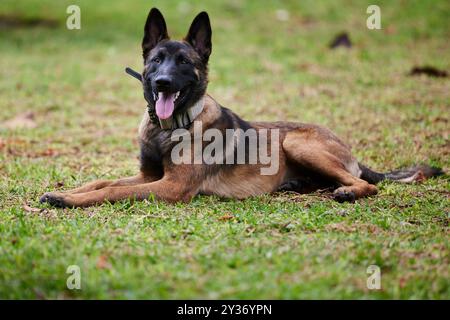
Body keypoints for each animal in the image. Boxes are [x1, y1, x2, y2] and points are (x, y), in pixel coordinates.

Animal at [40, 8, 444, 208]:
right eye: (156, 60)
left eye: (184, 62)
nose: (163, 83)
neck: (170, 128)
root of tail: (351, 153)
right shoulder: (148, 176)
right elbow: (101, 181)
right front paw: (65, 192)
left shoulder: (170, 187)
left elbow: (111, 192)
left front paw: (70, 200)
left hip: (297, 142)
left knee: (365, 183)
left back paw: (348, 191)